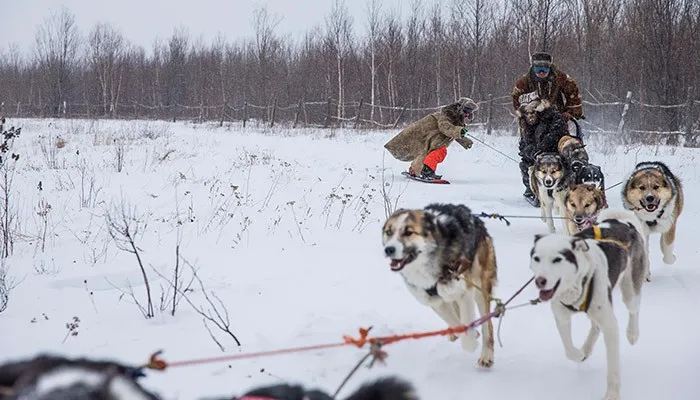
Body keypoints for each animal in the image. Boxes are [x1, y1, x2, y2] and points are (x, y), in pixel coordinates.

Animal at [382, 205, 498, 368]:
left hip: (480, 288)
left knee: (488, 325)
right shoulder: (434, 301)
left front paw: (470, 344)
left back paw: (486, 355)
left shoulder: (464, 292)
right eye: (389, 232)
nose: (389, 249)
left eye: (409, 232)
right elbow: (457, 324)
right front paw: (468, 333)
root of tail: (477, 220)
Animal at [532, 208, 652, 400]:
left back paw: (632, 333)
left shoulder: (611, 327)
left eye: (557, 259)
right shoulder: (562, 318)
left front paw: (612, 395)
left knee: (634, 308)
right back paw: (586, 349)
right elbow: (569, 350)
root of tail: (623, 222)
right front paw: (579, 353)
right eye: (536, 258)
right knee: (595, 326)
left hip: (630, 291)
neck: (579, 282)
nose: (540, 281)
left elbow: (613, 368)